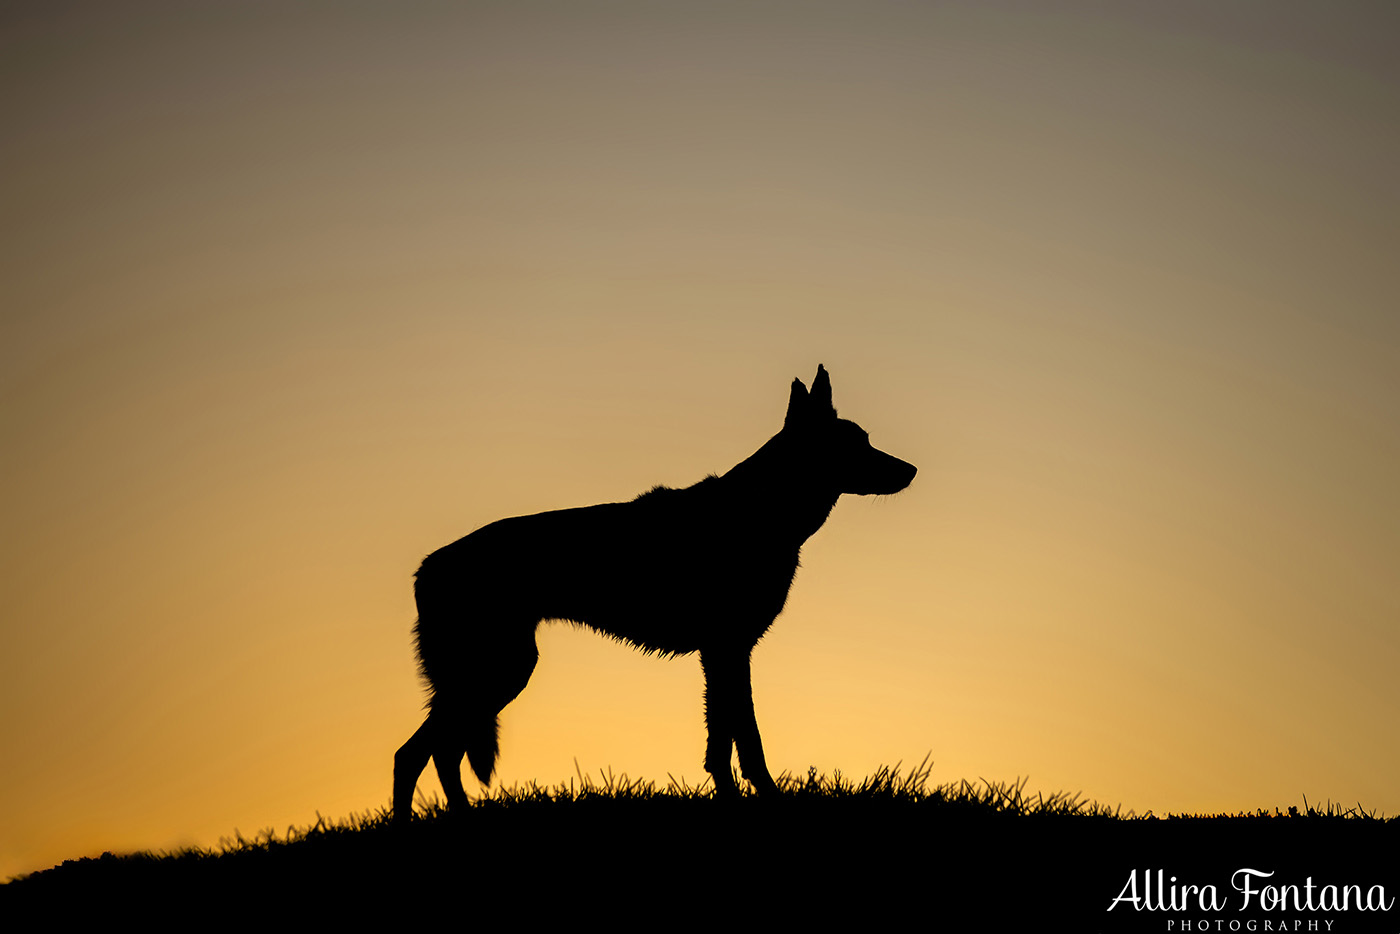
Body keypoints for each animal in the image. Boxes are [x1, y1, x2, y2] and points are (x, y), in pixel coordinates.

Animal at [394, 364, 918, 817]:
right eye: (856, 444)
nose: (911, 470)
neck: (761, 509)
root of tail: (426, 568)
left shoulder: (723, 653)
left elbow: (721, 740)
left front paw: (730, 801)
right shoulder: (728, 649)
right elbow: (747, 739)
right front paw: (766, 800)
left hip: (491, 675)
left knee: (436, 752)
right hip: (500, 671)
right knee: (416, 754)